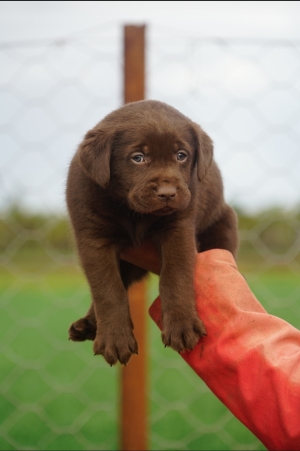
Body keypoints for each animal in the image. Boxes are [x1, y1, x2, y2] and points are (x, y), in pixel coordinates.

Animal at [67, 100, 238, 368]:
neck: (134, 213)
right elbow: (107, 289)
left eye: (181, 155)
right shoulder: (93, 238)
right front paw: (114, 340)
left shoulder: (179, 228)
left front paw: (182, 326)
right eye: (138, 158)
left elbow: (175, 275)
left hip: (225, 226)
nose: (168, 193)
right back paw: (88, 325)